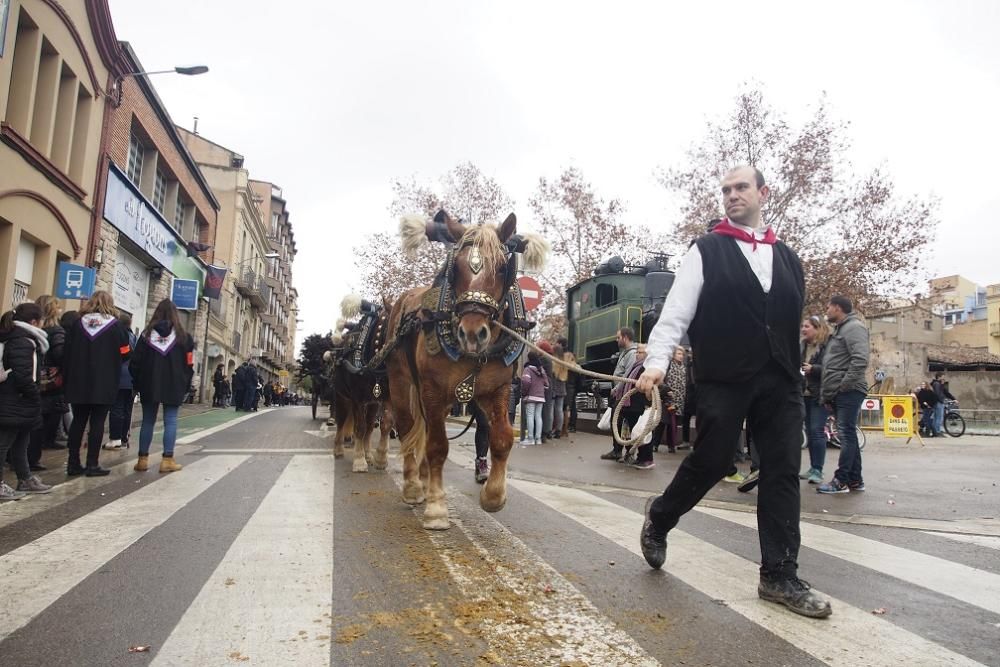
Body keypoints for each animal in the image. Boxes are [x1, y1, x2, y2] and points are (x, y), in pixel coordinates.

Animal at [386, 211, 552, 528]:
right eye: (457, 268)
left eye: (502, 268)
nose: (473, 333)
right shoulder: (432, 390)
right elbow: (437, 447)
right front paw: (437, 507)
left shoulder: (498, 390)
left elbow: (501, 439)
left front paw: (493, 497)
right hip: (402, 385)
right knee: (407, 428)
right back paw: (413, 486)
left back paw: (424, 480)